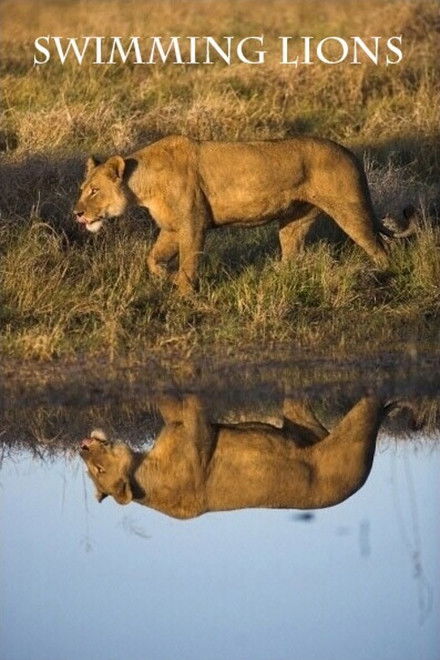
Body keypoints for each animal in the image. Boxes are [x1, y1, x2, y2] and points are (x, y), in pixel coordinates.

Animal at [74, 135, 411, 294]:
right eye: (82, 188)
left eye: (94, 191)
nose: (76, 213)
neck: (142, 185)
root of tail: (350, 152)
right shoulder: (171, 228)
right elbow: (152, 259)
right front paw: (169, 279)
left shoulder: (193, 225)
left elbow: (189, 262)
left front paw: (183, 293)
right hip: (294, 220)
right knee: (291, 255)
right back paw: (278, 280)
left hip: (349, 210)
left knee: (379, 247)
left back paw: (385, 276)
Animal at [79, 394, 387, 519]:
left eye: (96, 470)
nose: (81, 449)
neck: (144, 468)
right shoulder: (200, 436)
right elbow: (193, 406)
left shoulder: (184, 426)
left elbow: (170, 404)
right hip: (352, 436)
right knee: (371, 405)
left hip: (304, 426)